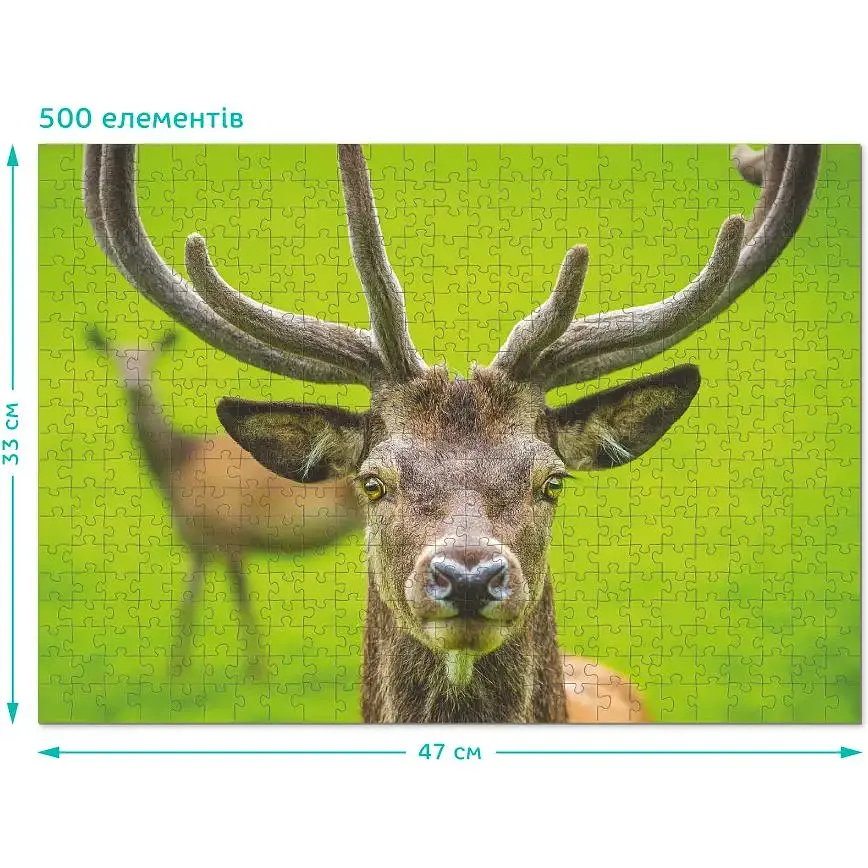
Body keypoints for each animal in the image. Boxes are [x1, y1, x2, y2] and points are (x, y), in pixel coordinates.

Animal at [83, 324, 364, 675]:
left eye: (150, 358)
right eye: (117, 357)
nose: (133, 384)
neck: (178, 467)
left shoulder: (230, 534)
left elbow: (242, 601)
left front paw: (258, 671)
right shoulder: (197, 544)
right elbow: (187, 603)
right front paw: (175, 672)